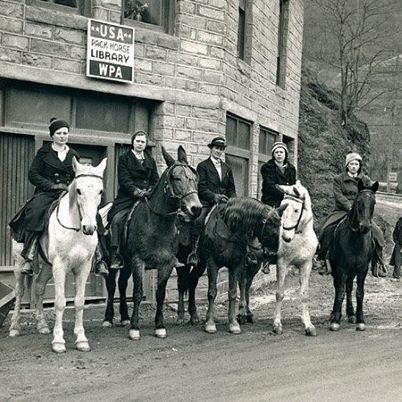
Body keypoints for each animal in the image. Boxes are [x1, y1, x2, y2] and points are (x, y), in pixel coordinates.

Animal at [9, 157, 107, 352]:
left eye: (100, 191)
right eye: (78, 190)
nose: (89, 227)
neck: (76, 229)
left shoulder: (83, 267)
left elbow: (79, 302)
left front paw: (81, 339)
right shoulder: (60, 265)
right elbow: (60, 302)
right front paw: (59, 341)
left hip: (48, 265)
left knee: (39, 286)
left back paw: (42, 325)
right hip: (19, 263)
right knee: (20, 290)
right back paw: (15, 327)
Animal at [101, 146, 201, 338]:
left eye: (194, 178)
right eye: (176, 178)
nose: (196, 208)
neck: (157, 224)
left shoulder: (167, 264)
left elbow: (160, 294)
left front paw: (159, 326)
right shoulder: (138, 261)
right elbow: (138, 293)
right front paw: (134, 327)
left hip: (127, 264)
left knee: (122, 284)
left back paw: (124, 317)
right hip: (112, 260)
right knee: (111, 285)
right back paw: (108, 319)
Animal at [177, 197, 286, 332]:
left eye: (280, 226)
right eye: (271, 226)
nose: (273, 254)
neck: (229, 231)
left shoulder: (236, 265)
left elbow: (233, 292)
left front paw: (234, 322)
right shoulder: (212, 263)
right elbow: (212, 292)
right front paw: (210, 323)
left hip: (200, 265)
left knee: (192, 283)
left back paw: (194, 316)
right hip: (183, 262)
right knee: (182, 284)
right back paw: (181, 316)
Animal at [272, 181, 318, 334]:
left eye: (297, 210)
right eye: (282, 206)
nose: (285, 238)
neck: (300, 236)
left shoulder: (306, 265)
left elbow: (304, 294)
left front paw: (308, 325)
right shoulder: (282, 264)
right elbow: (280, 294)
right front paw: (277, 324)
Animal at [328, 181, 378, 332]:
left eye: (373, 202)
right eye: (359, 201)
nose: (365, 226)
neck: (355, 240)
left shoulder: (362, 269)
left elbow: (359, 292)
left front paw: (360, 319)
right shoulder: (341, 268)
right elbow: (340, 292)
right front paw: (336, 320)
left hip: (352, 271)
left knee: (349, 288)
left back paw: (351, 314)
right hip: (338, 270)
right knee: (339, 287)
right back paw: (334, 313)